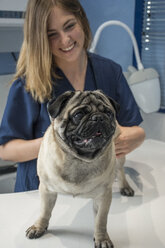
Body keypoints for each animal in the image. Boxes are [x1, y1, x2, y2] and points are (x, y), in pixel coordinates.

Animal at [25, 90, 134, 247]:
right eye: (78, 114)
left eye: (108, 113)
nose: (99, 118)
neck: (78, 159)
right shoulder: (47, 190)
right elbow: (44, 211)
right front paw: (39, 227)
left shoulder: (103, 196)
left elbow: (101, 220)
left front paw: (102, 238)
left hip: (120, 154)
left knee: (120, 170)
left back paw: (125, 186)